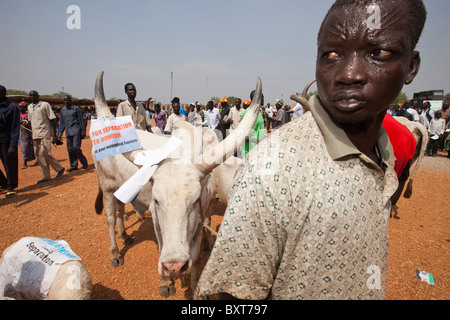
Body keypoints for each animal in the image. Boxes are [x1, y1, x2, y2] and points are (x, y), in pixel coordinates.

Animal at [91, 71, 262, 296]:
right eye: (157, 201)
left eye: (194, 200)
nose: (174, 266)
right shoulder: (156, 219)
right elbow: (161, 245)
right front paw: (165, 282)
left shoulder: (200, 215)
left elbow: (196, 256)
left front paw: (196, 289)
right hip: (107, 187)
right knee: (110, 218)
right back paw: (115, 252)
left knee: (120, 210)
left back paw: (125, 235)